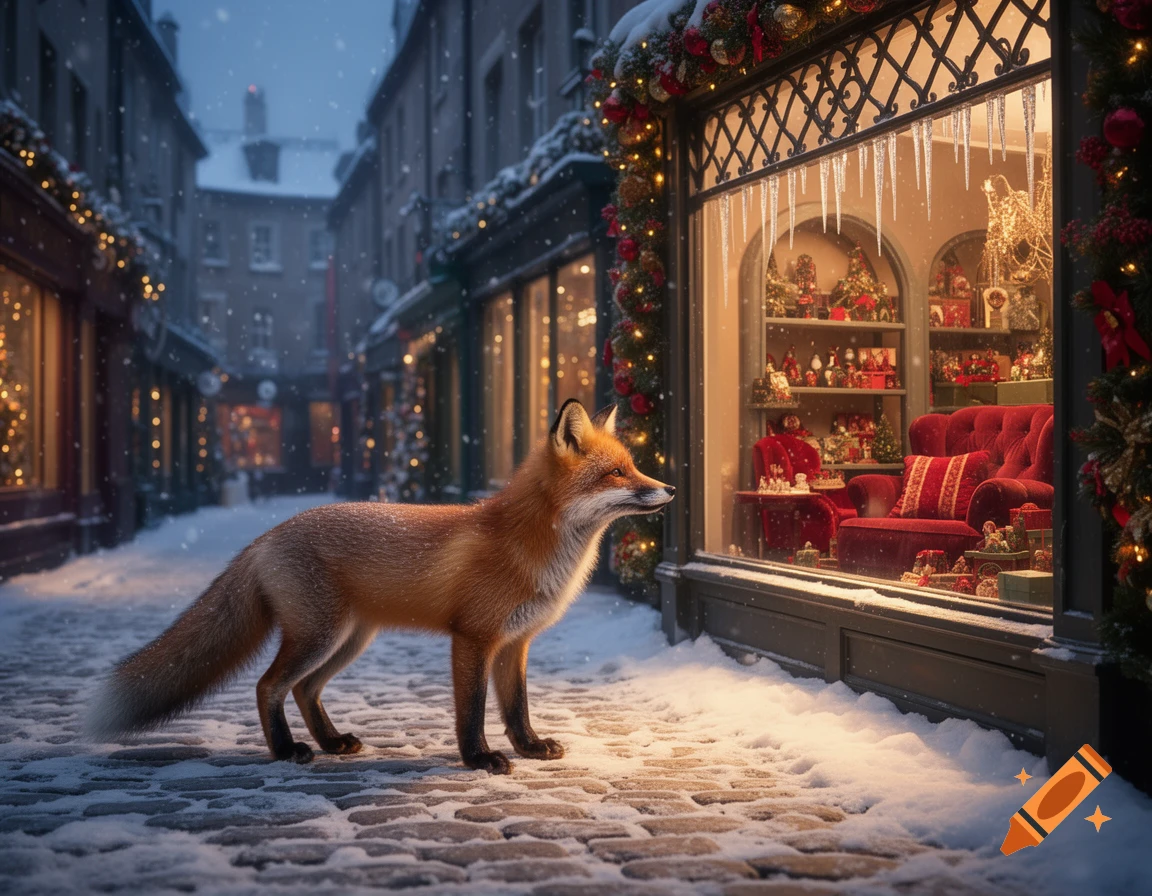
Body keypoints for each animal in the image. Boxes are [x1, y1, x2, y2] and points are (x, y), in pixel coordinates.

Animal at [89, 400, 674, 774]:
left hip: (349, 640)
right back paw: (287, 752)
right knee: (267, 686)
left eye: (634, 466)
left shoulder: (516, 643)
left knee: (304, 689)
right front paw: (478, 760)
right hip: (319, 636)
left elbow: (517, 708)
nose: (668, 487)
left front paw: (529, 749)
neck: (531, 546)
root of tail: (265, 537)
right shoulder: (473, 638)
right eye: (616, 473)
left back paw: (331, 742)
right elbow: (472, 710)